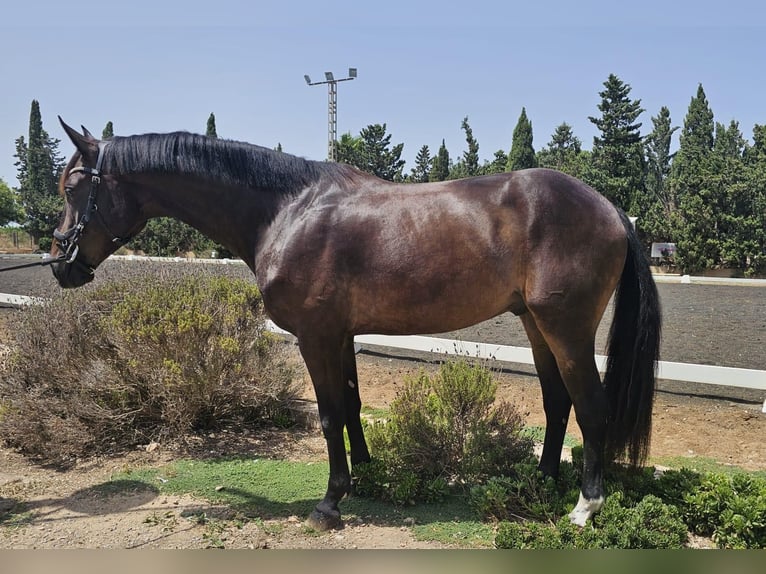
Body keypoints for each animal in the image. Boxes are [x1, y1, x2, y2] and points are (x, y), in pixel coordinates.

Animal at [51, 118, 661, 529]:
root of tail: (611, 209)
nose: (60, 263)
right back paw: (541, 482)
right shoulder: (340, 334)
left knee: (592, 407)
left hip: (567, 330)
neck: (286, 211)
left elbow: (327, 416)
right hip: (536, 325)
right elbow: (350, 406)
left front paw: (329, 502)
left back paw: (585, 506)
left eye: (74, 188)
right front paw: (363, 476)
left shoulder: (315, 336)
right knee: (558, 402)